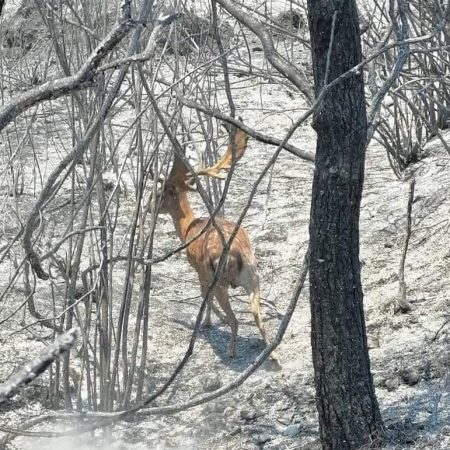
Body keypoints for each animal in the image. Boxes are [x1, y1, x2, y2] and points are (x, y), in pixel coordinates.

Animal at [156, 124, 280, 370]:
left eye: (160, 194)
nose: (149, 207)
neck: (187, 229)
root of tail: (237, 254)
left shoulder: (199, 270)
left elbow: (205, 297)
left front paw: (208, 322)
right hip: (253, 275)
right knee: (258, 316)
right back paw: (274, 355)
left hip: (220, 278)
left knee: (235, 318)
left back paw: (231, 351)